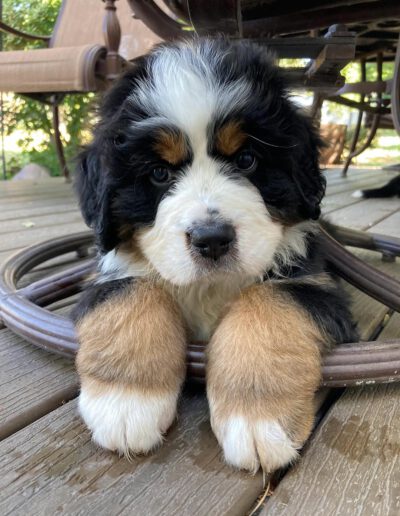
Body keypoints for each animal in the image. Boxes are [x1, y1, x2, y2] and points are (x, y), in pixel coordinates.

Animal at [72, 38, 356, 474]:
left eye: (246, 159)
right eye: (158, 173)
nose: (212, 240)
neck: (210, 288)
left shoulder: (313, 280)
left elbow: (268, 304)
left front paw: (257, 417)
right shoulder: (110, 273)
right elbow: (133, 295)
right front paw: (125, 402)